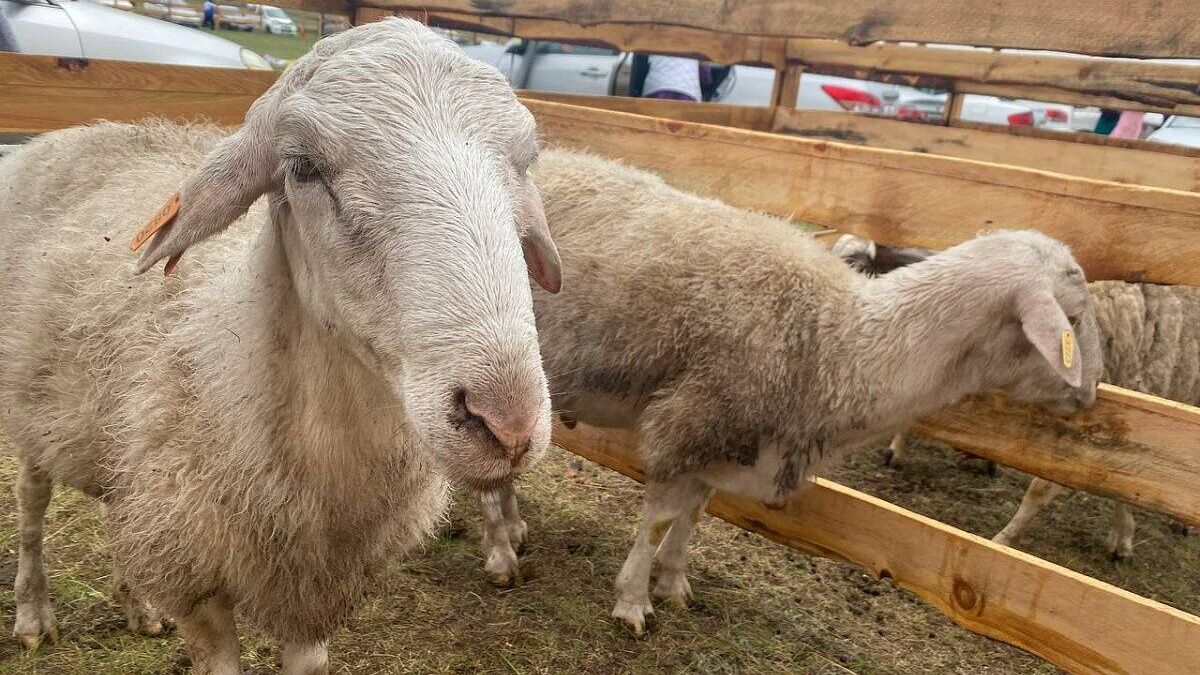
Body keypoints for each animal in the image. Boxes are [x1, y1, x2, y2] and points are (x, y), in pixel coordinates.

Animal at [0, 18, 561, 667]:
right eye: (303, 166)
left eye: (526, 161)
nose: (506, 424)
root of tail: (73, 130)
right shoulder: (201, 585)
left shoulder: (312, 593)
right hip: (29, 408)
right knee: (31, 499)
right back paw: (33, 613)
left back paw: (139, 607)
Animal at [472, 148, 1099, 629]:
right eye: (1073, 315)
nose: (1092, 390)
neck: (835, 337)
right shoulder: (692, 419)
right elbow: (657, 521)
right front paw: (632, 602)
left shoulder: (733, 434)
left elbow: (695, 514)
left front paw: (673, 585)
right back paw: (500, 551)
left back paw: (514, 527)